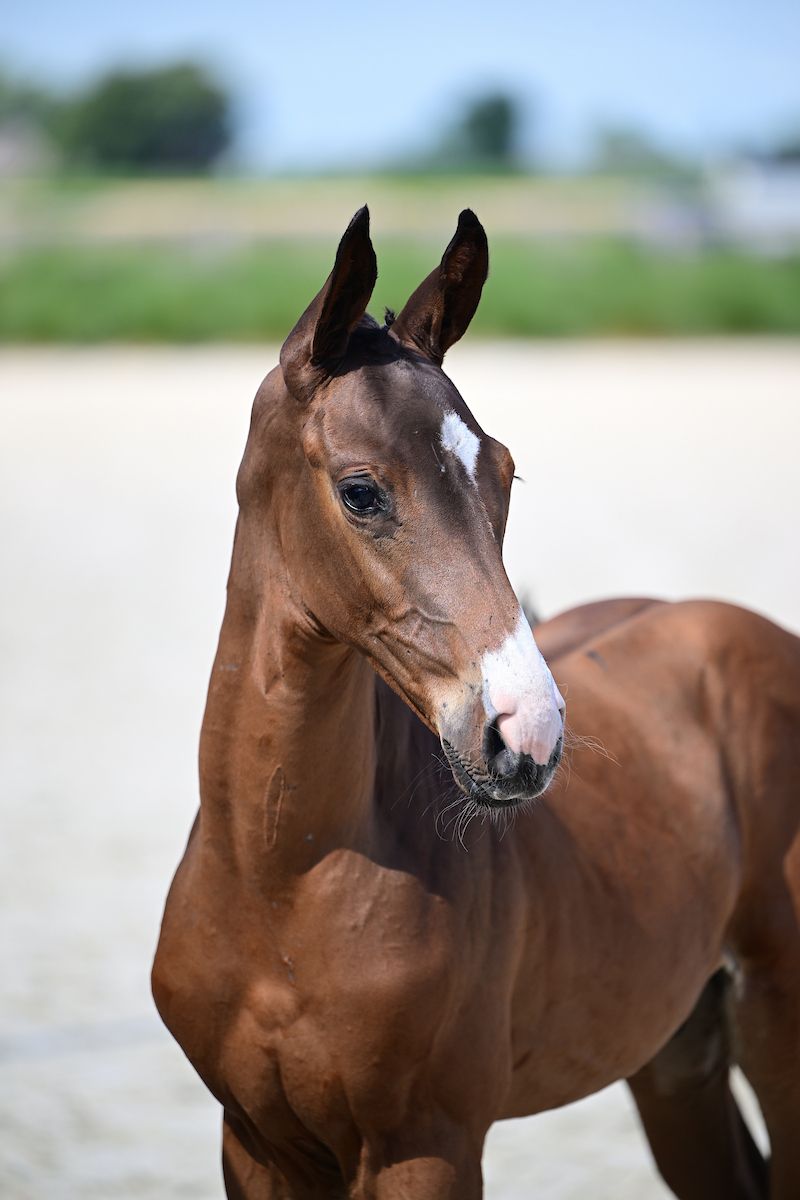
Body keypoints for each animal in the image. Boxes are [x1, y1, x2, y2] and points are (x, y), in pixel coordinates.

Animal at [152, 207, 800, 1199]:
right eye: (361, 490)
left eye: (504, 473)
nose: (527, 735)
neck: (279, 882)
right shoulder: (254, 1144)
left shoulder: (428, 1144)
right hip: (677, 1054)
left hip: (779, 1022)